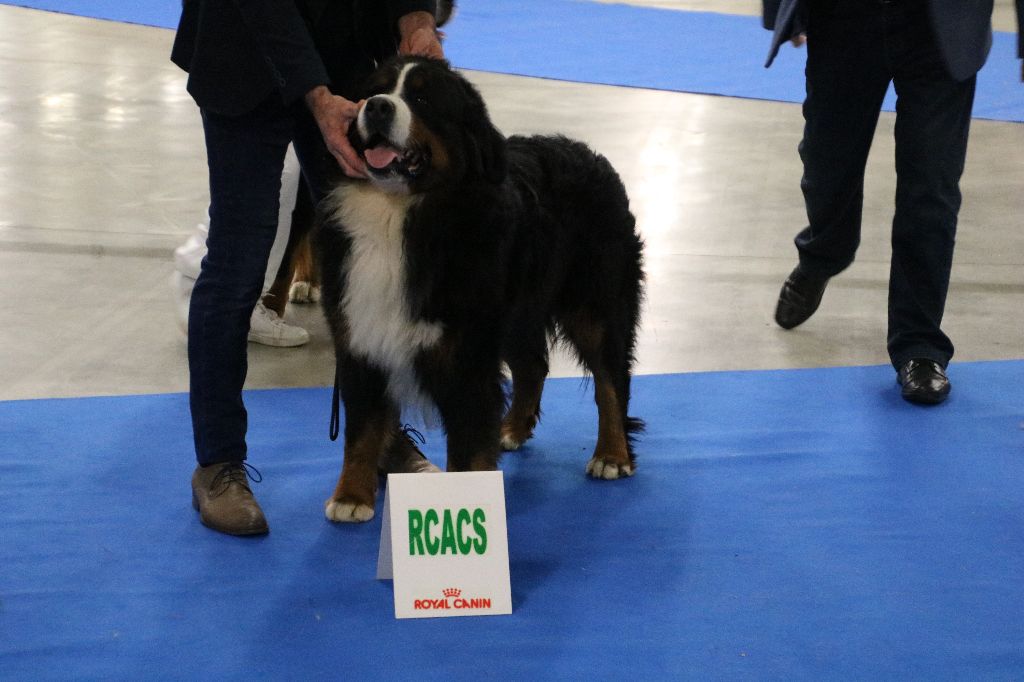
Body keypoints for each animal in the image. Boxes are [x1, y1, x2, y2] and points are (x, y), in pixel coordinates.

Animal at [315, 57, 643, 520]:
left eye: (422, 98)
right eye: (370, 93)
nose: (377, 107)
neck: (398, 214)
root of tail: (591, 155)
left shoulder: (466, 357)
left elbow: (467, 447)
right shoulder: (361, 336)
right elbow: (362, 427)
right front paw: (352, 497)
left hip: (596, 304)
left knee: (611, 378)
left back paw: (612, 455)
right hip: (519, 312)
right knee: (533, 366)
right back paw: (511, 430)